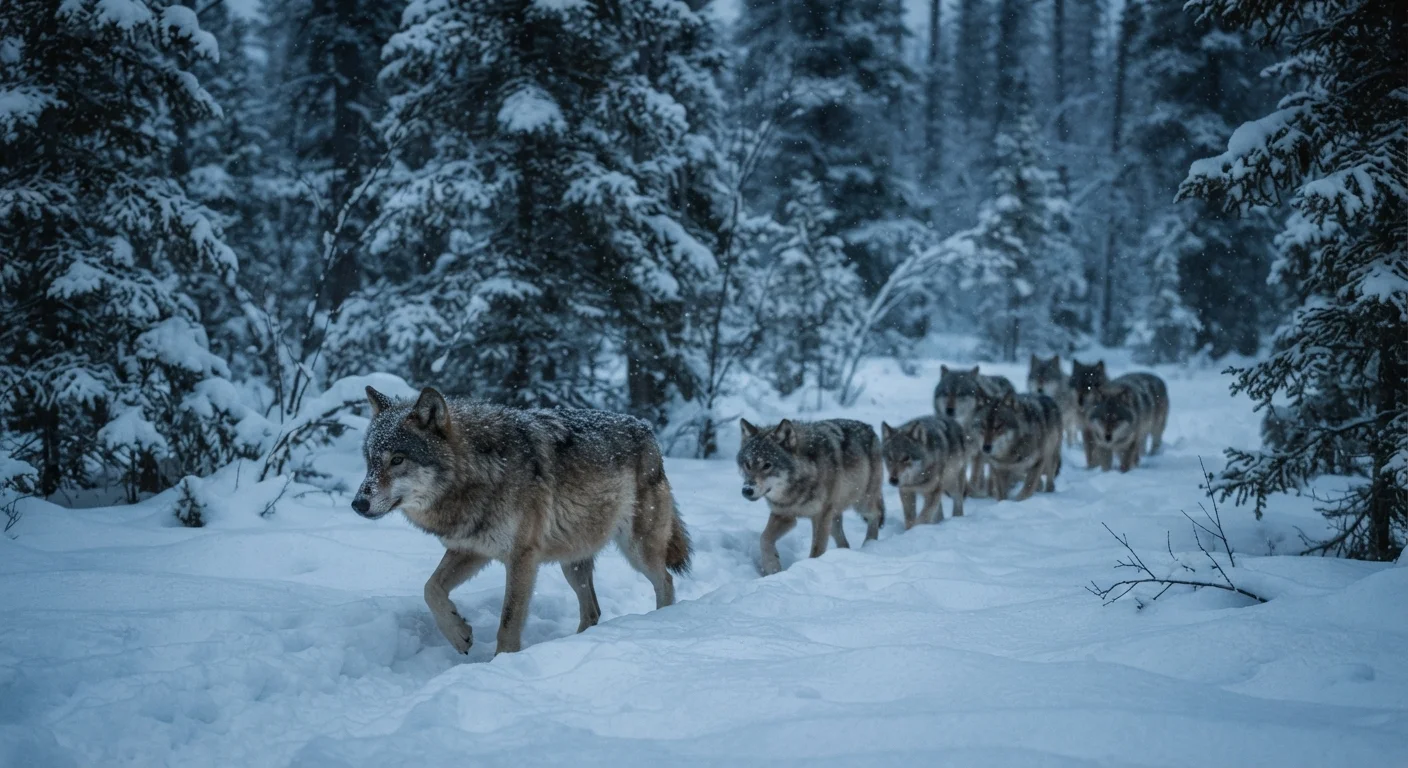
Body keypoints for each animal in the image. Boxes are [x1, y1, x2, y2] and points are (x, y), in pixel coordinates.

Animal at [352, 386, 691, 656]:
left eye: (397, 460)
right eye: (369, 462)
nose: (357, 504)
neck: (479, 471)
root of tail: (646, 429)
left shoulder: (522, 558)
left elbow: (509, 621)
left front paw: (501, 663)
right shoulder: (470, 550)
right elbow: (430, 588)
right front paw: (459, 634)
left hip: (637, 549)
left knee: (666, 581)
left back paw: (662, 621)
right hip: (573, 562)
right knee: (593, 610)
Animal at [736, 417, 885, 576]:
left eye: (767, 465)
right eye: (747, 464)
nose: (747, 490)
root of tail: (869, 427)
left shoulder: (820, 516)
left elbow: (817, 549)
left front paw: (810, 566)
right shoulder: (783, 514)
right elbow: (764, 538)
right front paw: (772, 567)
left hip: (862, 503)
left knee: (875, 514)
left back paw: (869, 544)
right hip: (833, 518)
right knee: (844, 542)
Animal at [933, 365, 1017, 497]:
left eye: (960, 394)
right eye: (946, 393)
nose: (949, 410)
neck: (964, 428)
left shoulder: (980, 453)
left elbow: (975, 476)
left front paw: (974, 493)